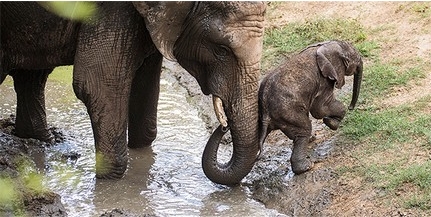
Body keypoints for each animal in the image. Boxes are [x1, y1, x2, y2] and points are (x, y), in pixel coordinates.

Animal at [0, 2, 266, 185]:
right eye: (221, 49)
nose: (223, 126)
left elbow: (146, 81)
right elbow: (97, 85)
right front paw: (109, 183)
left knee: (33, 76)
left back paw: (40, 139)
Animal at [260, 39, 364, 174]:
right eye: (354, 58)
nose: (351, 107)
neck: (323, 47)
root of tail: (265, 108)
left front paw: (331, 122)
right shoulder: (324, 80)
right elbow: (319, 110)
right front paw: (331, 123)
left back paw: (311, 139)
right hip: (288, 111)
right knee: (304, 129)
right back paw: (307, 166)